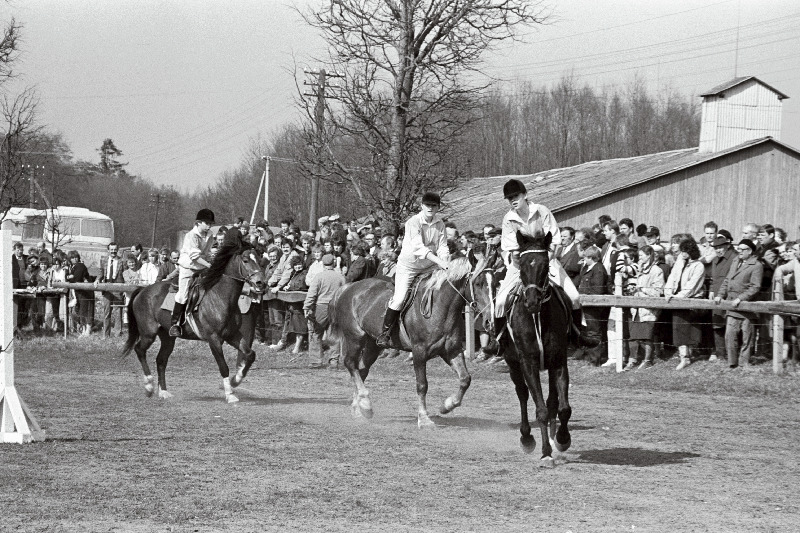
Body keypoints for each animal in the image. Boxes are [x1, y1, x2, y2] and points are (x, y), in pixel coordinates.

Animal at [121, 234, 266, 404]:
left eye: (259, 258)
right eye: (245, 260)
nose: (261, 283)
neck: (220, 296)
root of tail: (143, 290)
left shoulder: (232, 335)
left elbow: (250, 354)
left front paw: (235, 380)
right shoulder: (214, 339)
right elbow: (223, 367)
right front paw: (230, 394)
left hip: (168, 337)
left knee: (161, 360)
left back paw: (163, 392)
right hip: (148, 333)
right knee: (140, 350)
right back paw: (149, 386)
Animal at [326, 255, 494, 428]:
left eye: (495, 284)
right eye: (478, 283)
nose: (489, 321)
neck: (440, 307)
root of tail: (348, 287)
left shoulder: (452, 351)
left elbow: (465, 379)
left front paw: (447, 406)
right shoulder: (419, 352)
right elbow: (422, 385)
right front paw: (424, 418)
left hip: (373, 344)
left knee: (361, 369)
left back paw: (360, 408)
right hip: (355, 337)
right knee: (350, 364)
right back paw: (365, 402)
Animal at [484, 231, 572, 468]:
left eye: (545, 264)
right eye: (522, 265)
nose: (532, 301)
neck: (537, 316)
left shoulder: (558, 361)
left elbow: (562, 408)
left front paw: (561, 440)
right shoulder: (528, 363)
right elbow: (540, 409)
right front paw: (545, 453)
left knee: (552, 402)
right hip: (513, 363)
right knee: (522, 394)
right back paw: (526, 437)